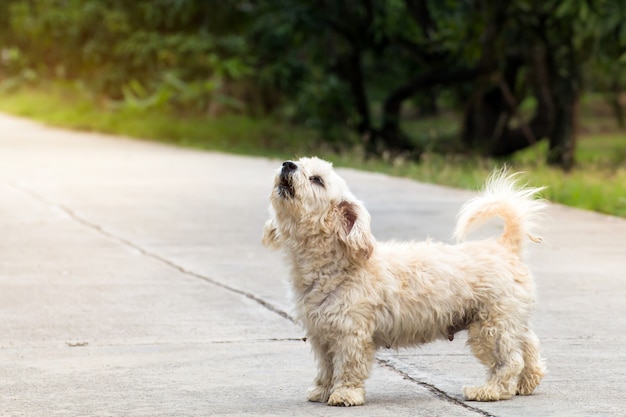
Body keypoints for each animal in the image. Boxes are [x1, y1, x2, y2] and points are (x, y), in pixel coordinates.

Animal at [260, 157, 544, 406]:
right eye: (298, 162)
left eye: (317, 180)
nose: (287, 164)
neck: (335, 265)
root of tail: (506, 246)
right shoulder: (321, 335)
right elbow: (326, 368)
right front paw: (321, 391)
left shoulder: (351, 334)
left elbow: (349, 367)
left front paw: (345, 395)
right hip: (509, 320)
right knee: (530, 346)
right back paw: (526, 383)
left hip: (490, 327)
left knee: (510, 361)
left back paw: (490, 391)